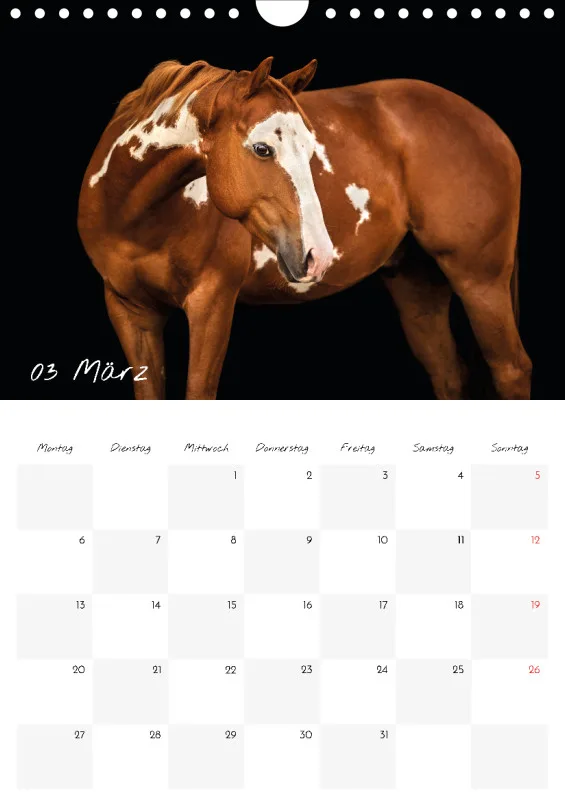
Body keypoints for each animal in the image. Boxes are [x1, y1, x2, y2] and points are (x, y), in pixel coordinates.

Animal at [78, 57, 531, 400]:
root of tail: (488, 126)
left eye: (312, 149)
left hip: (480, 279)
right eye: (262, 148)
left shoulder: (212, 302)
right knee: (449, 375)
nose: (319, 256)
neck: (136, 216)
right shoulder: (130, 310)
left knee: (511, 370)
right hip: (416, 284)